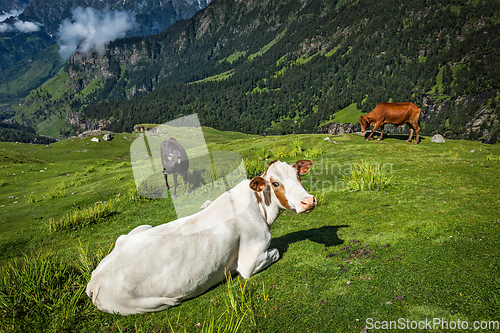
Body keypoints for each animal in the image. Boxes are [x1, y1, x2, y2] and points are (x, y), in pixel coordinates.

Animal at [84, 158, 314, 314]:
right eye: (275, 183)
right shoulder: (250, 261)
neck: (262, 209)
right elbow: (276, 251)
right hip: (153, 302)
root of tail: (93, 281)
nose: (308, 201)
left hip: (139, 228)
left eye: (298, 176)